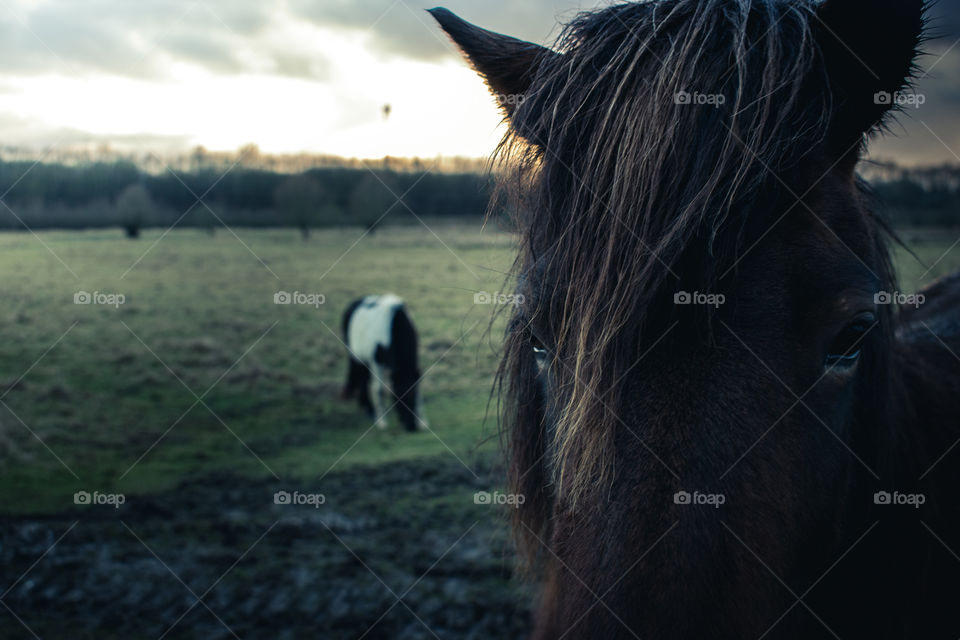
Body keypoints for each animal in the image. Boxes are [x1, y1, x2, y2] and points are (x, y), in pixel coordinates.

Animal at [341, 294, 428, 432]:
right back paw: (369, 410)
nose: (411, 426)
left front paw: (422, 421)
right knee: (362, 379)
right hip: (356, 357)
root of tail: (353, 305)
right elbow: (379, 390)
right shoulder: (377, 362)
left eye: (415, 396)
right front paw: (382, 422)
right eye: (399, 395)